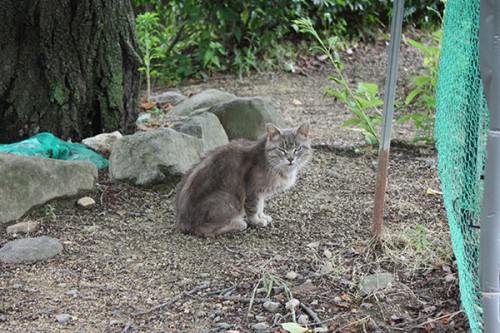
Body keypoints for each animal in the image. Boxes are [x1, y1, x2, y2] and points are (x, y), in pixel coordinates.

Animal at [174, 122, 310, 236]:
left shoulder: (260, 193)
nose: (290, 159)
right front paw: (257, 221)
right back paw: (238, 224)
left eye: (298, 148)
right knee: (202, 229)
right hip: (228, 199)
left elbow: (260, 206)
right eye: (281, 149)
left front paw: (262, 216)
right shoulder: (252, 190)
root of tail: (182, 221)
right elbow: (253, 208)